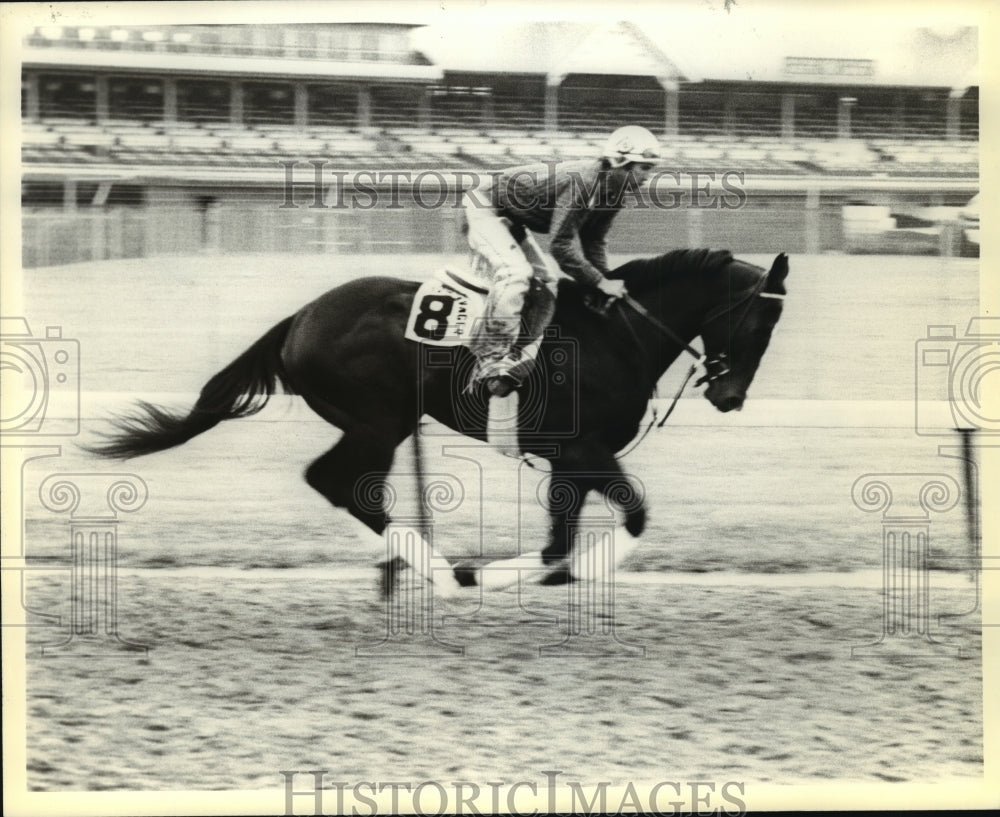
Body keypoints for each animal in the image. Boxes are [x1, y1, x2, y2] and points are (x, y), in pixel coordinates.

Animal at [88, 245, 788, 588]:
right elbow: (634, 514)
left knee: (348, 487)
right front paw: (510, 572)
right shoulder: (584, 450)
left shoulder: (572, 460)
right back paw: (432, 568)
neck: (617, 336)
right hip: (378, 419)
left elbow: (559, 538)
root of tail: (301, 317)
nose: (730, 396)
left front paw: (551, 574)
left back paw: (404, 568)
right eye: (760, 321)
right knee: (338, 484)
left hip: (377, 422)